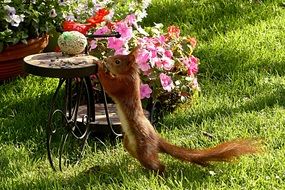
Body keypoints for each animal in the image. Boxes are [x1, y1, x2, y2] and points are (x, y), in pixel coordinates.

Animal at [93, 47, 260, 174]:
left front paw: (99, 65)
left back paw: (160, 174)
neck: (130, 74)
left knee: (156, 164)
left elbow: (110, 86)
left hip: (143, 147)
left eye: (117, 61)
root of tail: (156, 139)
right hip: (130, 144)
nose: (107, 60)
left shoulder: (124, 86)